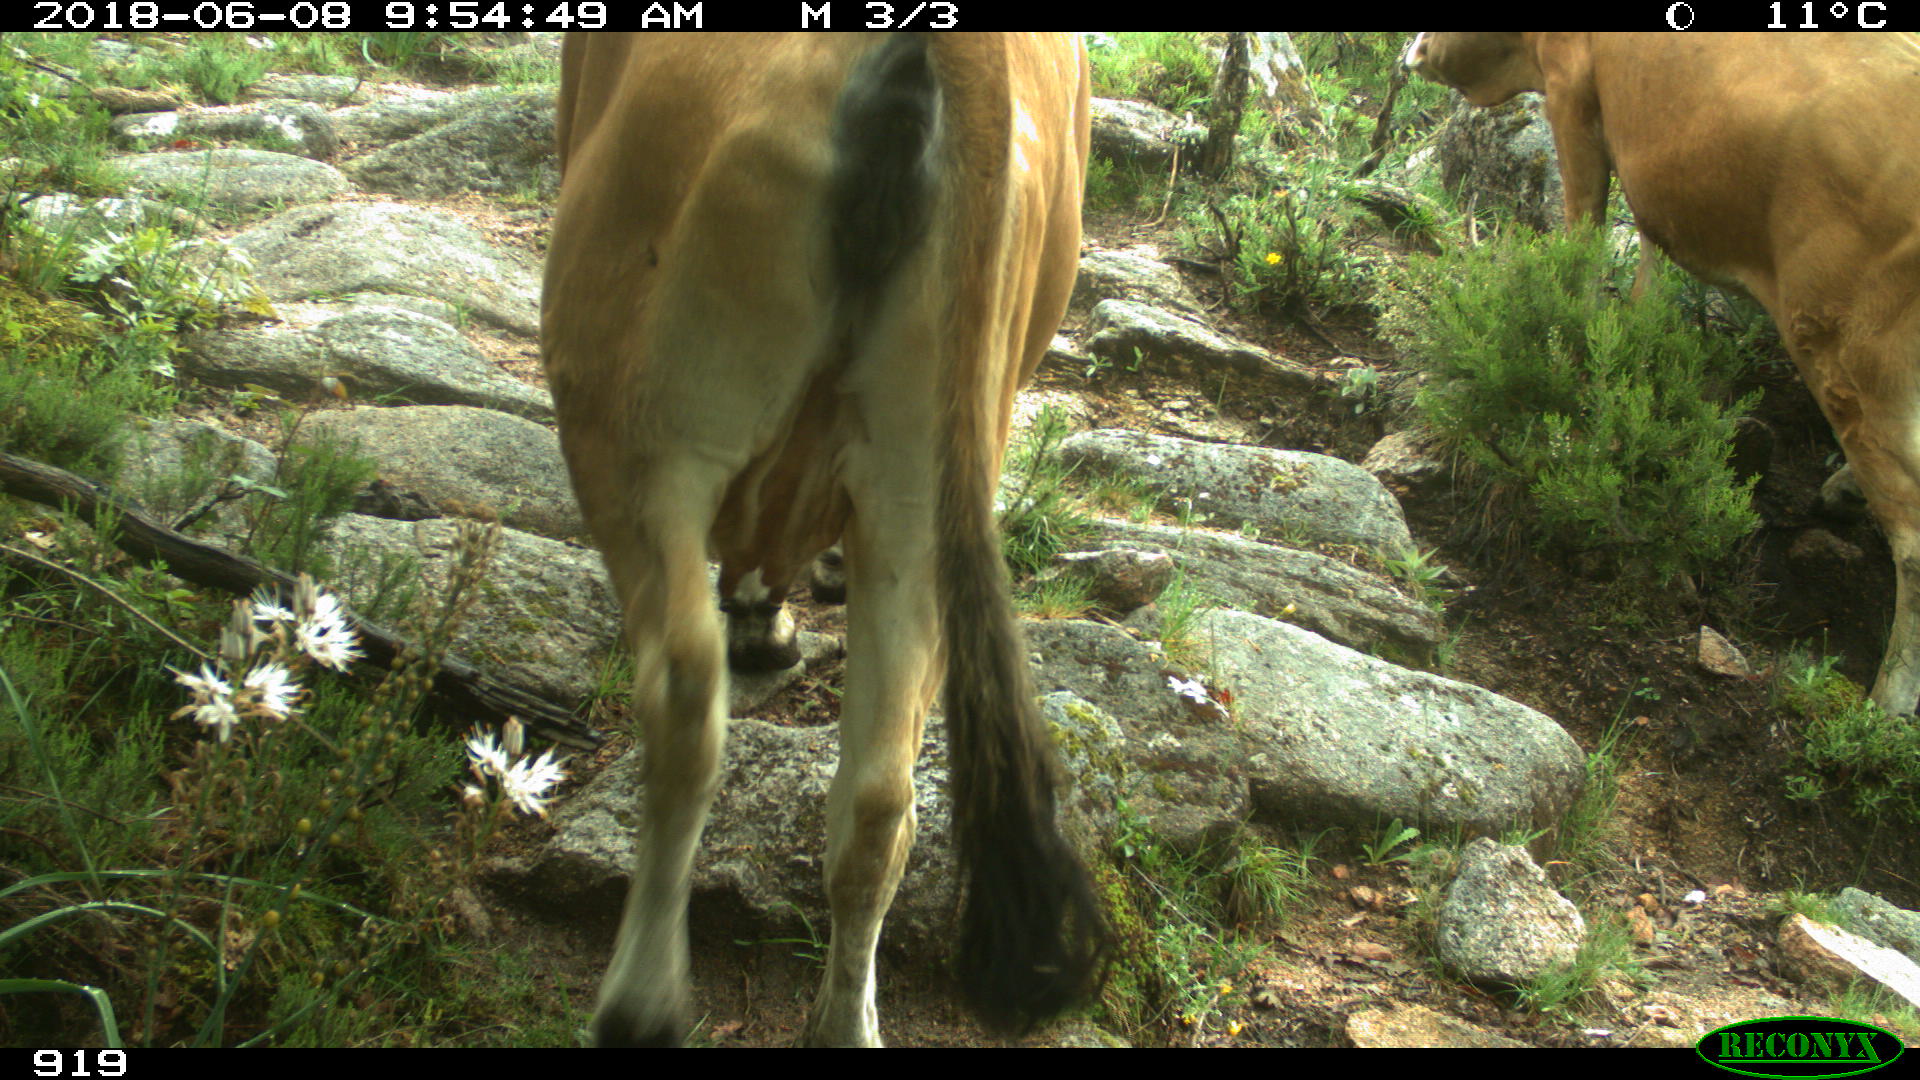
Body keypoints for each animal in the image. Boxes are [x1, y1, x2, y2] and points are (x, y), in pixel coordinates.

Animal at [542, 33, 1106, 1046]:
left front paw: (763, 616)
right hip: (920, 497)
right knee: (881, 798)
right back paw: (845, 1020)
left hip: (640, 423)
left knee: (683, 694)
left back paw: (641, 1001)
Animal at [1404, 32, 1920, 717]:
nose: (1412, 52)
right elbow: (1647, 278)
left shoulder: (1572, 88)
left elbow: (1585, 234)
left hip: (1848, 342)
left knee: (1911, 532)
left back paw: (1887, 702)